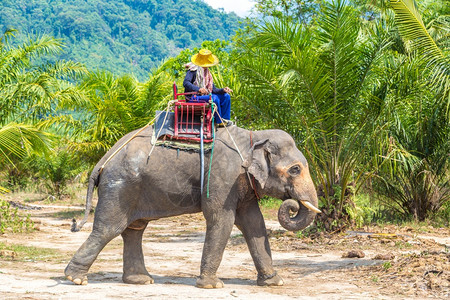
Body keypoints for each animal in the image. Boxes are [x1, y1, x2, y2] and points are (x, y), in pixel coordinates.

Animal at [66, 124, 320, 288]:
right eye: (295, 169)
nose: (292, 205)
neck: (253, 137)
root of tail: (105, 157)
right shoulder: (222, 176)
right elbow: (221, 219)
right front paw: (211, 286)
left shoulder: (242, 183)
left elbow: (254, 223)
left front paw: (275, 282)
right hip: (120, 186)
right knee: (108, 229)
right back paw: (75, 279)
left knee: (134, 230)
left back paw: (140, 280)